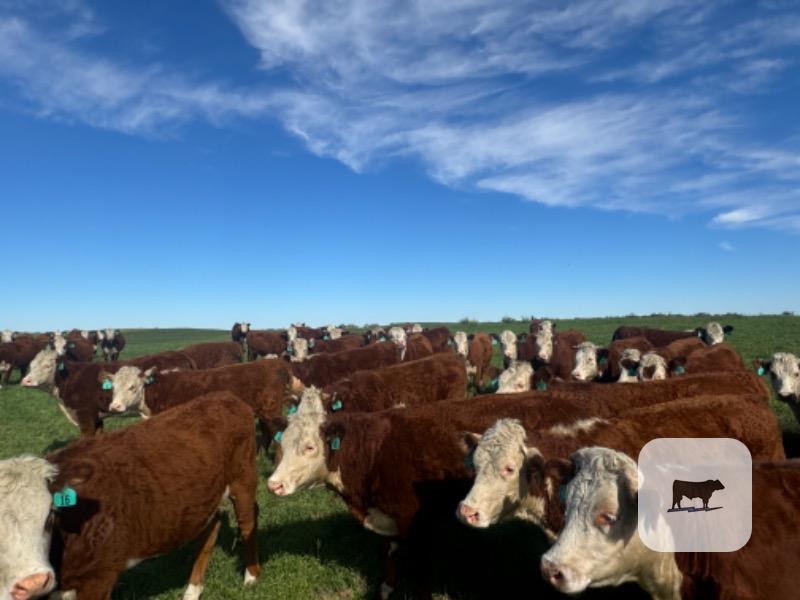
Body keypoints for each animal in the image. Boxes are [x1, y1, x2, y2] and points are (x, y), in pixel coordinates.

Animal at [0, 392, 259, 600]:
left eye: (51, 515)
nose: (34, 583)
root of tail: (224, 396)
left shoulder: (99, 577)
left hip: (243, 481)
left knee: (249, 522)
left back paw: (252, 577)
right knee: (210, 531)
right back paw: (192, 591)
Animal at [20, 349, 197, 437]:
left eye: (47, 366)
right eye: (31, 365)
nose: (26, 381)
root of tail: (180, 353)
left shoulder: (85, 416)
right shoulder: (96, 417)